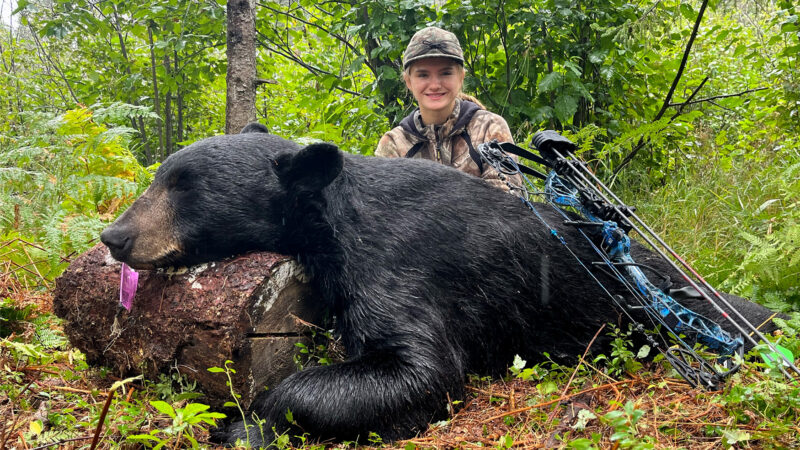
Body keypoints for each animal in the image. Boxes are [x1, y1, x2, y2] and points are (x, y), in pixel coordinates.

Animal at [100, 126, 780, 446]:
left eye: (185, 188)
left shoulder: (401, 266)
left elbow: (423, 371)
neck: (337, 218)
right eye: (160, 176)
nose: (114, 234)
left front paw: (247, 424)